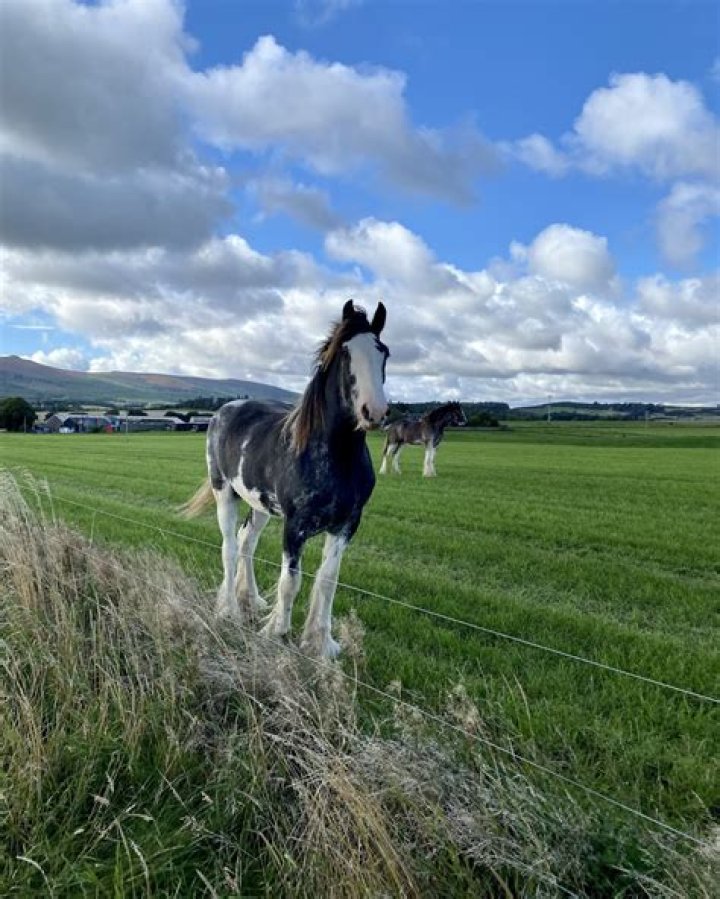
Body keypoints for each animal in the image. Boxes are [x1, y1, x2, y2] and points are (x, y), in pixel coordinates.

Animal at [181, 300, 389, 658]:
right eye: (346, 353)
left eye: (384, 353)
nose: (374, 412)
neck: (336, 456)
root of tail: (223, 411)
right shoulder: (295, 525)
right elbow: (290, 581)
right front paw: (277, 633)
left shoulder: (347, 524)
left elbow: (327, 580)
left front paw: (321, 643)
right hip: (224, 493)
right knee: (230, 547)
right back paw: (229, 610)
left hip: (260, 506)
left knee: (246, 542)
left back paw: (249, 600)